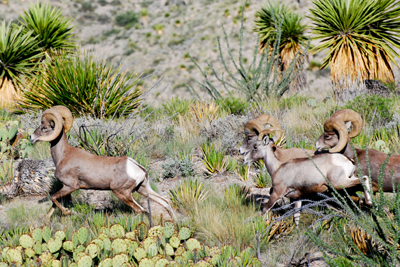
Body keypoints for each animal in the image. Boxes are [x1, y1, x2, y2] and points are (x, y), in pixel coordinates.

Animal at [29, 107, 177, 222]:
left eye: (45, 127)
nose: (31, 138)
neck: (63, 155)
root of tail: (138, 168)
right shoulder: (65, 189)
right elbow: (54, 203)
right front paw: (48, 218)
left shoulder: (71, 186)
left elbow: (53, 198)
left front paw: (67, 212)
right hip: (143, 189)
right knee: (165, 202)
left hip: (122, 193)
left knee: (139, 210)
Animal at [244, 129, 372, 225]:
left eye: (255, 147)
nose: (245, 160)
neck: (277, 167)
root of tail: (347, 160)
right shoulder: (297, 198)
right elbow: (296, 218)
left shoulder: (276, 194)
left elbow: (264, 210)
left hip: (339, 183)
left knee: (364, 178)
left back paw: (369, 202)